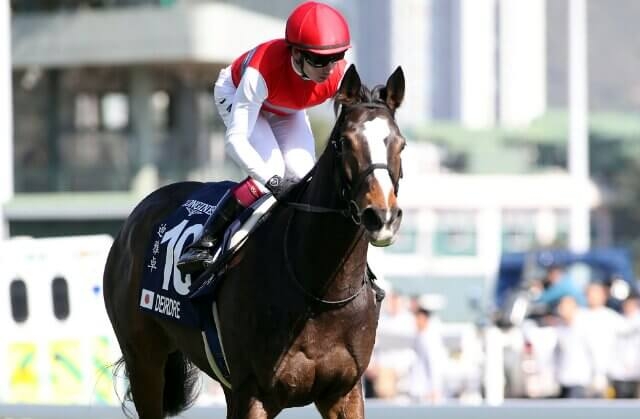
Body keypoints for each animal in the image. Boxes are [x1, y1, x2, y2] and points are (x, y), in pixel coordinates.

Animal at [103, 64, 406, 419]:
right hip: (145, 361)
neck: (319, 293)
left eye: (400, 144)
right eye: (344, 142)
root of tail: (140, 210)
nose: (381, 216)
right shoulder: (253, 393)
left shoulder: (344, 392)